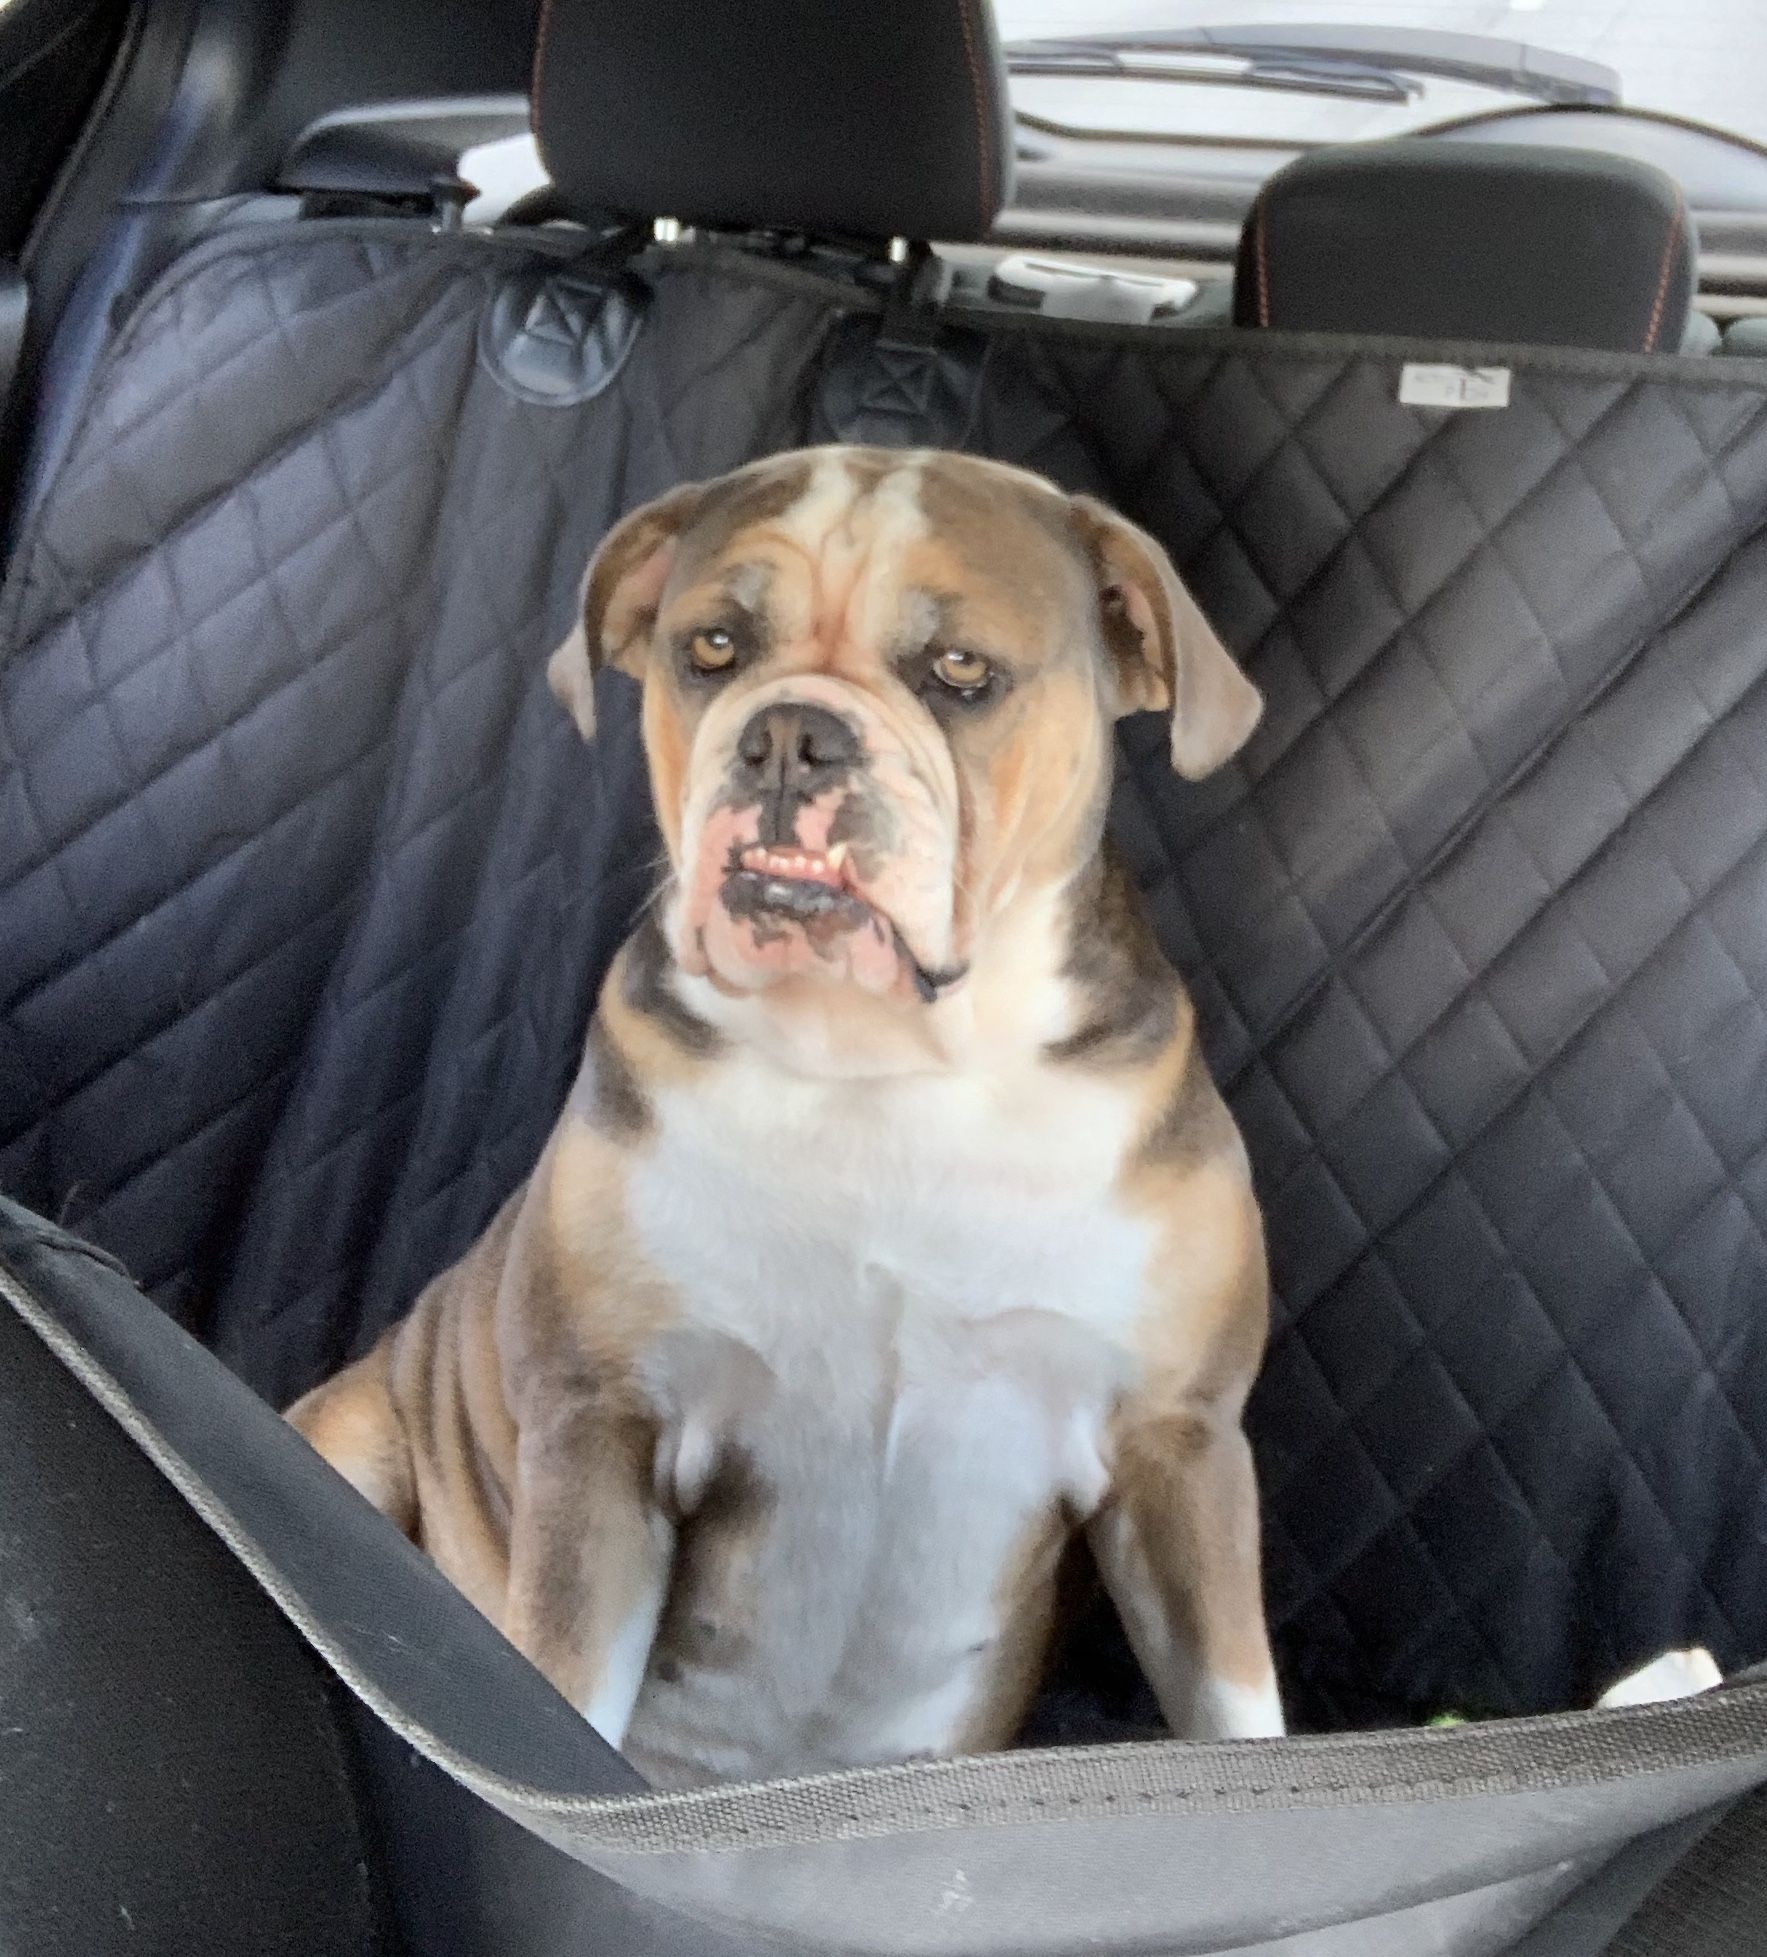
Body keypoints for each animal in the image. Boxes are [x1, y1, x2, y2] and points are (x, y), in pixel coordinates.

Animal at [288, 446, 1283, 1786]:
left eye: (959, 670)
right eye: (712, 645)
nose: (790, 733)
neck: (883, 1069)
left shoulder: (1182, 1449)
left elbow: (1242, 1716)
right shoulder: (601, 1426)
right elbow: (560, 1688)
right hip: (349, 1425)